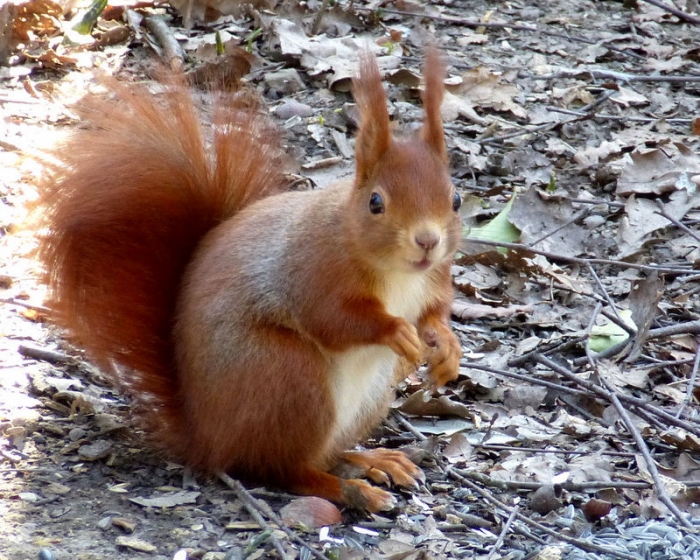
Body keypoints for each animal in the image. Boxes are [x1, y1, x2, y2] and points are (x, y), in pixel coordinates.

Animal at [38, 48, 462, 512]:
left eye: (457, 199)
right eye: (375, 203)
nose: (427, 240)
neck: (396, 272)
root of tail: (207, 438)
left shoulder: (434, 278)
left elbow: (436, 312)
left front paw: (447, 348)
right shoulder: (314, 268)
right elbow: (332, 319)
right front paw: (397, 331)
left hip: (366, 396)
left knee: (320, 455)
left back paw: (372, 460)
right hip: (286, 375)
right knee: (285, 469)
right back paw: (350, 488)